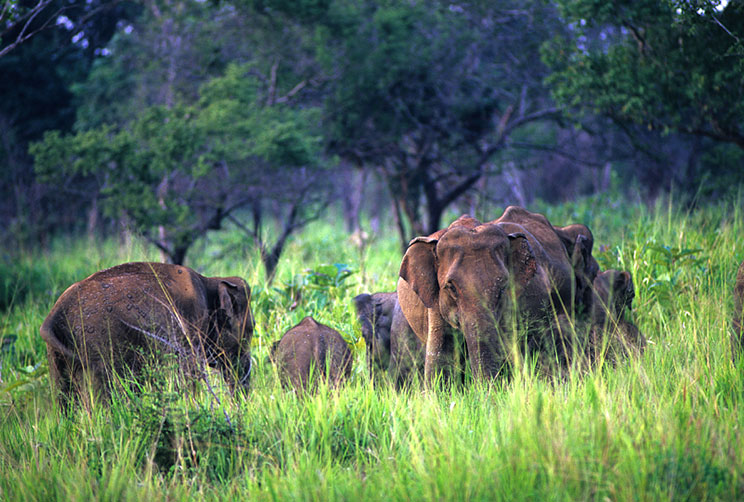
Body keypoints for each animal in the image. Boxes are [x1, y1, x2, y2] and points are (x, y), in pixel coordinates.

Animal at [40, 260, 256, 410]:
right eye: (252, 328)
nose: (240, 407)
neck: (209, 281)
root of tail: (53, 317)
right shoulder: (188, 332)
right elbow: (187, 376)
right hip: (101, 344)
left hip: (57, 359)